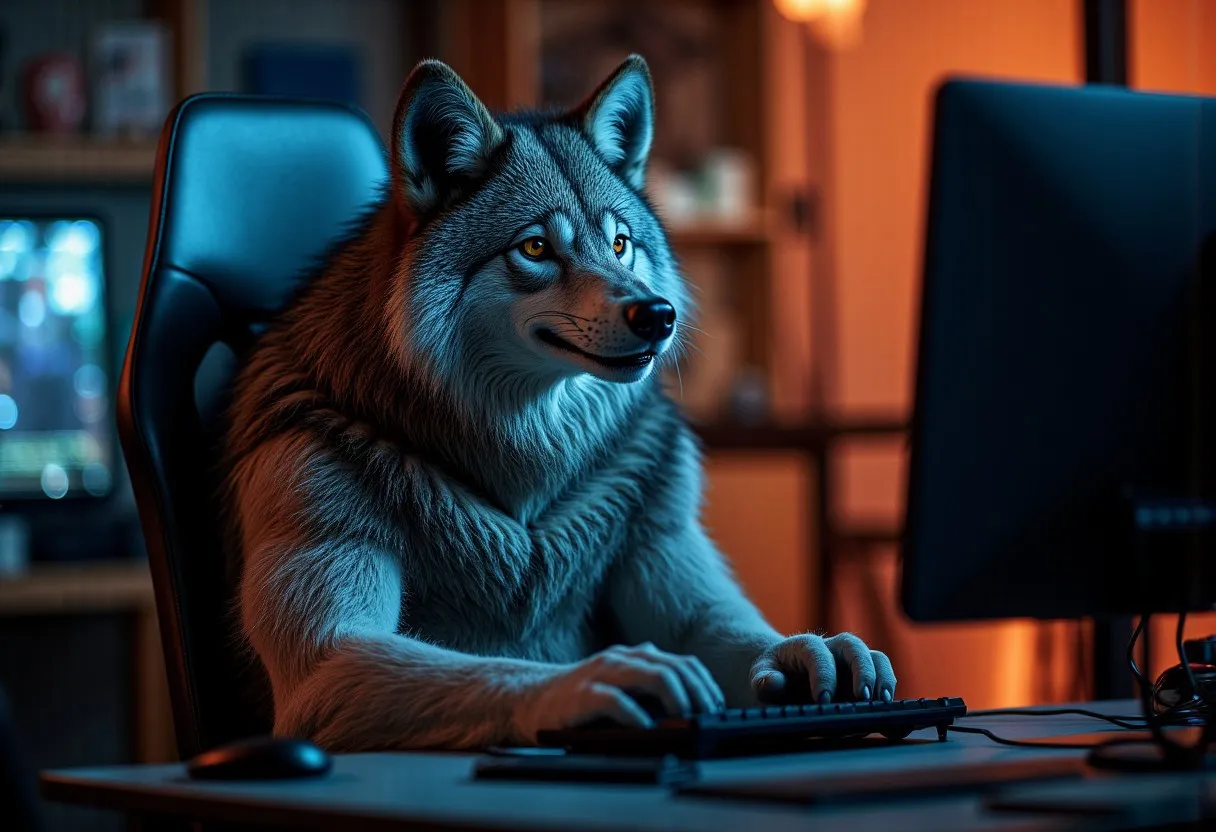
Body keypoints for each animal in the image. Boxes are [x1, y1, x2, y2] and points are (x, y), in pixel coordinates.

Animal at [222, 54, 897, 752]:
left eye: (621, 243)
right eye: (536, 248)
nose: (659, 314)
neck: (528, 451)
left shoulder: (665, 546)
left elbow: (722, 631)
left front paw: (818, 651)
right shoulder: (325, 635)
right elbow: (490, 667)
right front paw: (592, 682)